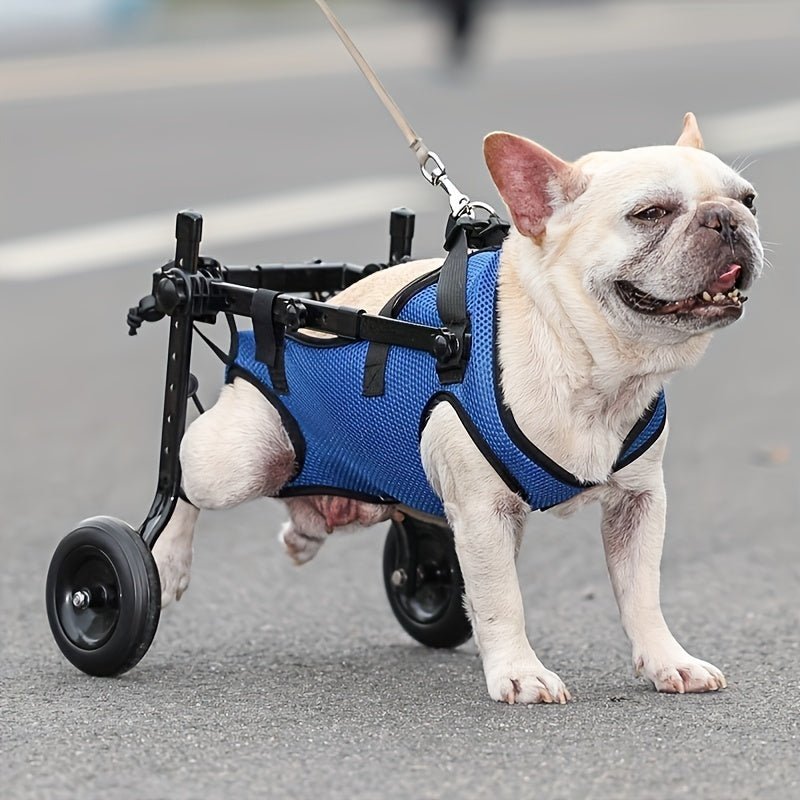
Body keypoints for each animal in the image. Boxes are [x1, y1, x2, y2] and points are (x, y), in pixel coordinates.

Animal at [155, 114, 764, 708]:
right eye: (650, 213)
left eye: (749, 199)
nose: (725, 219)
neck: (591, 369)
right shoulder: (483, 513)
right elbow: (502, 598)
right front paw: (520, 673)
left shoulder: (638, 503)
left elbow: (641, 593)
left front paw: (668, 661)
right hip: (238, 461)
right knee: (183, 474)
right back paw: (166, 561)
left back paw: (306, 532)